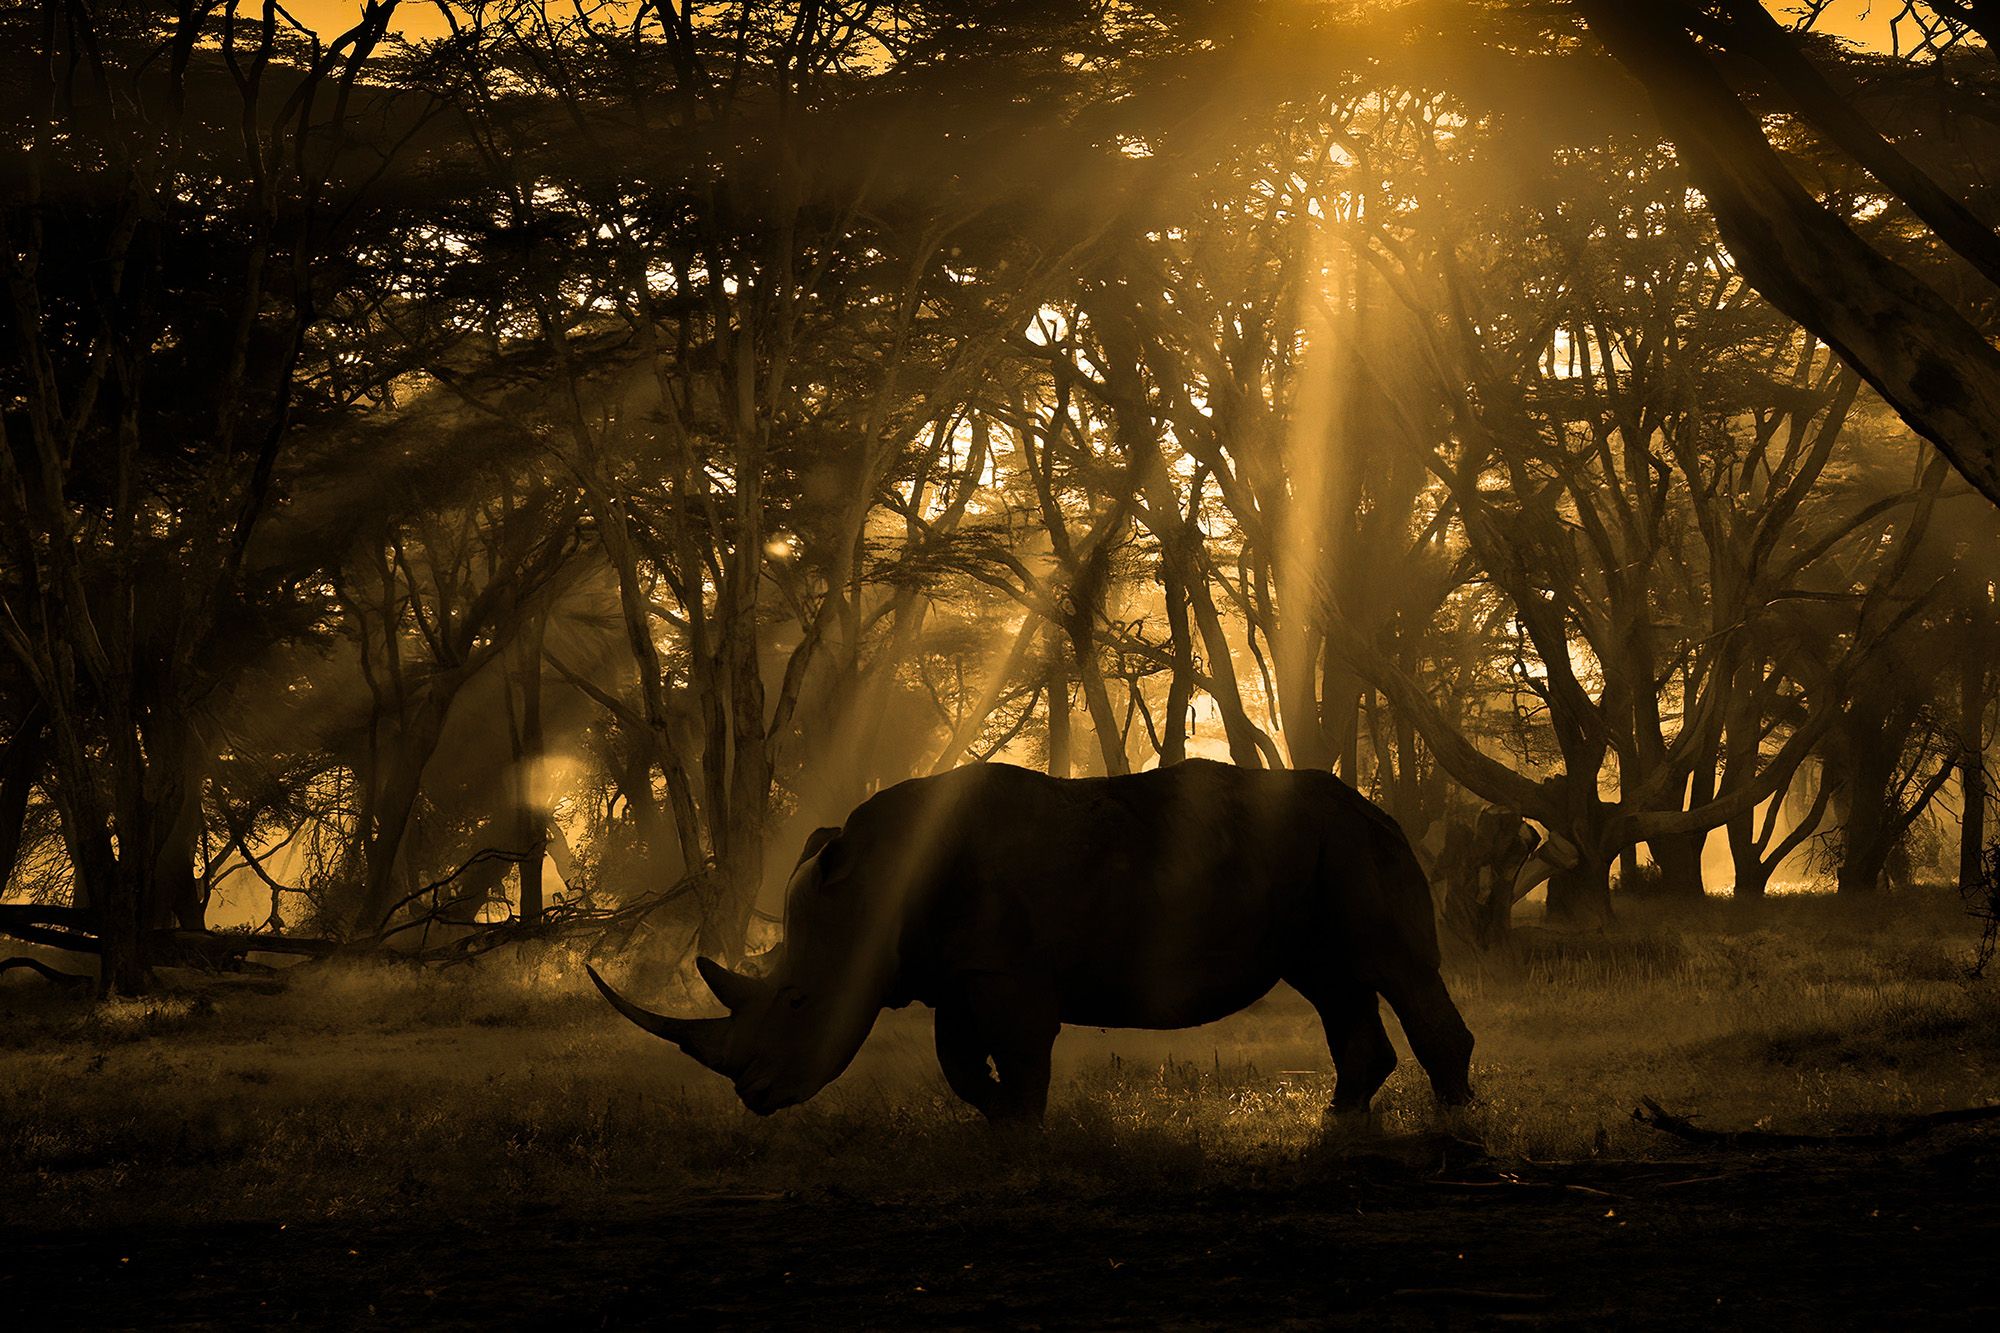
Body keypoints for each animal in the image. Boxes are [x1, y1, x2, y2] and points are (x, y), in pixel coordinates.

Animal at [587, 758, 1474, 1125]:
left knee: (1392, 965)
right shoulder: (957, 966)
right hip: (1322, 856)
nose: (753, 1097)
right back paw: (1342, 1117)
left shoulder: (1006, 971)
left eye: (800, 1000)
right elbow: (956, 1055)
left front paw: (1020, 1129)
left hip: (1355, 845)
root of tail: (1380, 808)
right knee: (1331, 980)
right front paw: (994, 1116)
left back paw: (1457, 1121)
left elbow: (1017, 1049)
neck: (871, 884)